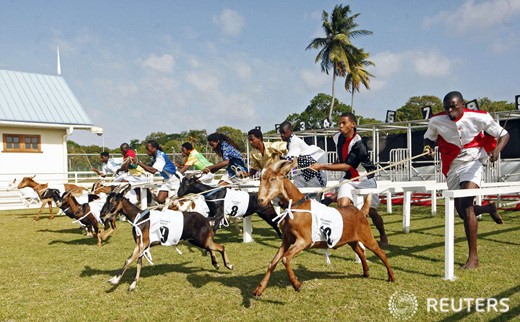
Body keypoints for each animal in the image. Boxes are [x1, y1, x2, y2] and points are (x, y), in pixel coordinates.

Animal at [99, 184, 234, 292]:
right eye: (106, 200)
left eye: (113, 201)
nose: (102, 214)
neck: (140, 217)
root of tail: (206, 219)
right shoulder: (142, 246)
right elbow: (138, 263)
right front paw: (132, 285)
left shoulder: (142, 244)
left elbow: (128, 261)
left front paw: (114, 280)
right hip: (197, 241)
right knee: (212, 247)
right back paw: (216, 264)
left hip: (201, 239)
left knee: (221, 247)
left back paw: (228, 265)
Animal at [252, 160, 394, 298]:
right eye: (261, 179)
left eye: (272, 179)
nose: (260, 200)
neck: (296, 207)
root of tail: (360, 212)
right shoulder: (286, 240)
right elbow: (273, 262)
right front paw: (259, 290)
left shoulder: (304, 240)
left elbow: (285, 258)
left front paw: (297, 284)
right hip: (352, 240)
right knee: (361, 252)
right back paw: (366, 272)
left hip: (367, 236)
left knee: (380, 253)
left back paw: (391, 276)